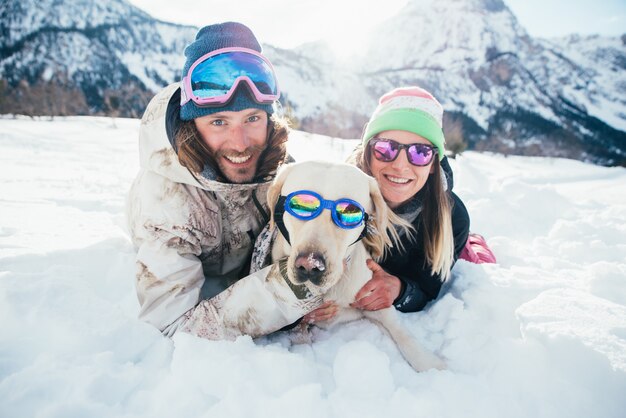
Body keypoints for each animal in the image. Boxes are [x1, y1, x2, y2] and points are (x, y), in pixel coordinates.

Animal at [266, 160, 446, 372]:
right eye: (300, 207)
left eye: (349, 212)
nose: (310, 265)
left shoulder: (375, 301)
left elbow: (402, 333)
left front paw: (431, 363)